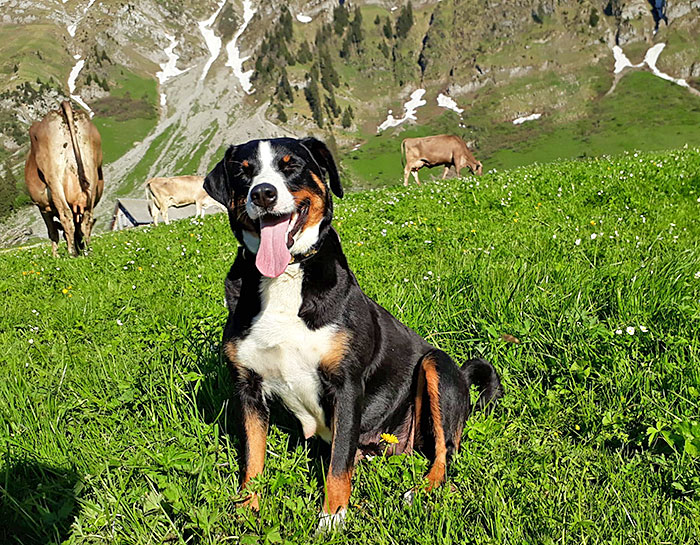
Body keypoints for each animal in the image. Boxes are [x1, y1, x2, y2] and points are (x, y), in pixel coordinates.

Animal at [25, 100, 105, 258]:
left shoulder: (43, 207)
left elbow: (53, 232)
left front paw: (55, 257)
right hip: (91, 174)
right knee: (86, 219)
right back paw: (86, 251)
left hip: (53, 177)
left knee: (66, 216)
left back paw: (71, 253)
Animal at [202, 137, 504, 532]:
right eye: (243, 171)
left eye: (291, 165)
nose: (264, 193)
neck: (285, 278)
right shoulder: (248, 387)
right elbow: (253, 460)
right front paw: (246, 511)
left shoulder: (345, 384)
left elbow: (338, 463)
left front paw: (332, 518)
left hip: (436, 364)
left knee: (445, 452)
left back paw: (420, 491)